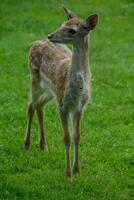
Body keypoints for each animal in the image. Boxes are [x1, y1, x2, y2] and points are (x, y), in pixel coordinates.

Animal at [23, 6, 98, 177]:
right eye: (62, 23)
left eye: (72, 30)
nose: (50, 35)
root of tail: (33, 43)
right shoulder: (63, 105)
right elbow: (67, 137)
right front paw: (68, 173)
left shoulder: (79, 107)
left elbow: (77, 136)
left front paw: (77, 170)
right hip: (35, 79)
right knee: (30, 105)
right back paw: (26, 144)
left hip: (51, 92)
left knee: (40, 106)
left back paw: (43, 145)